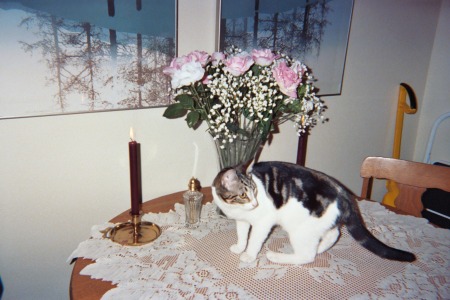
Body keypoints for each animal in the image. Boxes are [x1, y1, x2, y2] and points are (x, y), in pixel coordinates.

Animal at [213, 162, 416, 264]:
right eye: (243, 194)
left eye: (254, 191)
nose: (255, 202)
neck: (235, 207)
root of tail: (345, 195)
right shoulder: (242, 219)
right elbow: (242, 234)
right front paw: (240, 247)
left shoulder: (263, 221)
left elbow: (254, 240)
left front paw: (248, 255)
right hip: (317, 224)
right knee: (333, 234)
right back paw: (321, 248)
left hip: (300, 230)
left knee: (307, 256)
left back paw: (277, 257)